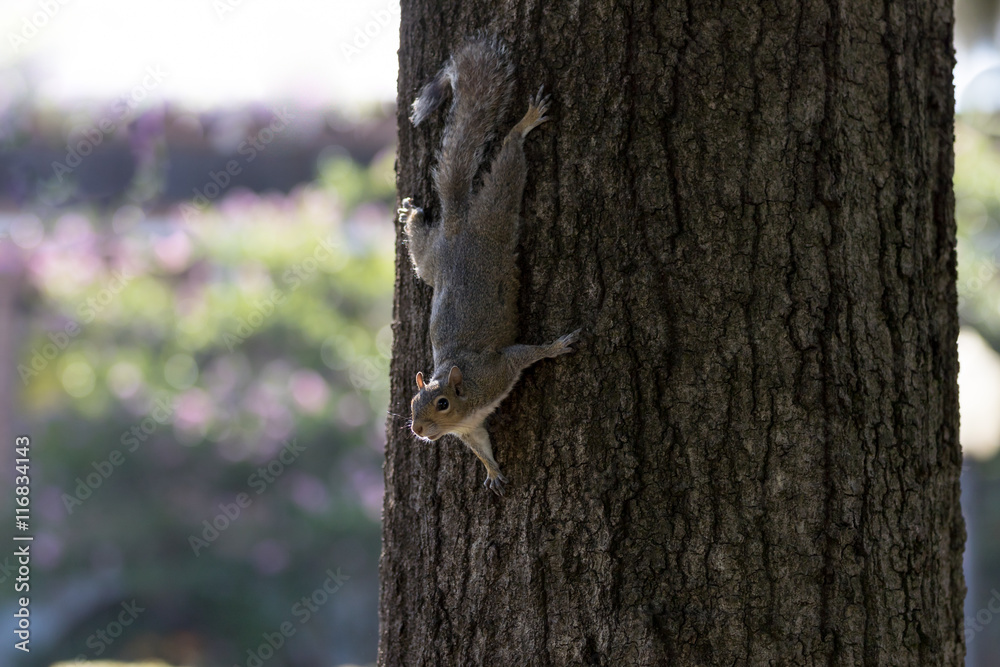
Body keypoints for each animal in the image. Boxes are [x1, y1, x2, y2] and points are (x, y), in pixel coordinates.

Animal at [398, 37, 579, 495]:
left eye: (443, 403)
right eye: (412, 403)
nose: (419, 431)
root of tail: (458, 226)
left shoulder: (497, 369)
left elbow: (526, 353)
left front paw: (556, 346)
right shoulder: (470, 428)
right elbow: (480, 445)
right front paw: (492, 471)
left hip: (493, 216)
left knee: (508, 165)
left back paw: (525, 123)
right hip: (430, 261)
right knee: (420, 247)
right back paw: (411, 212)